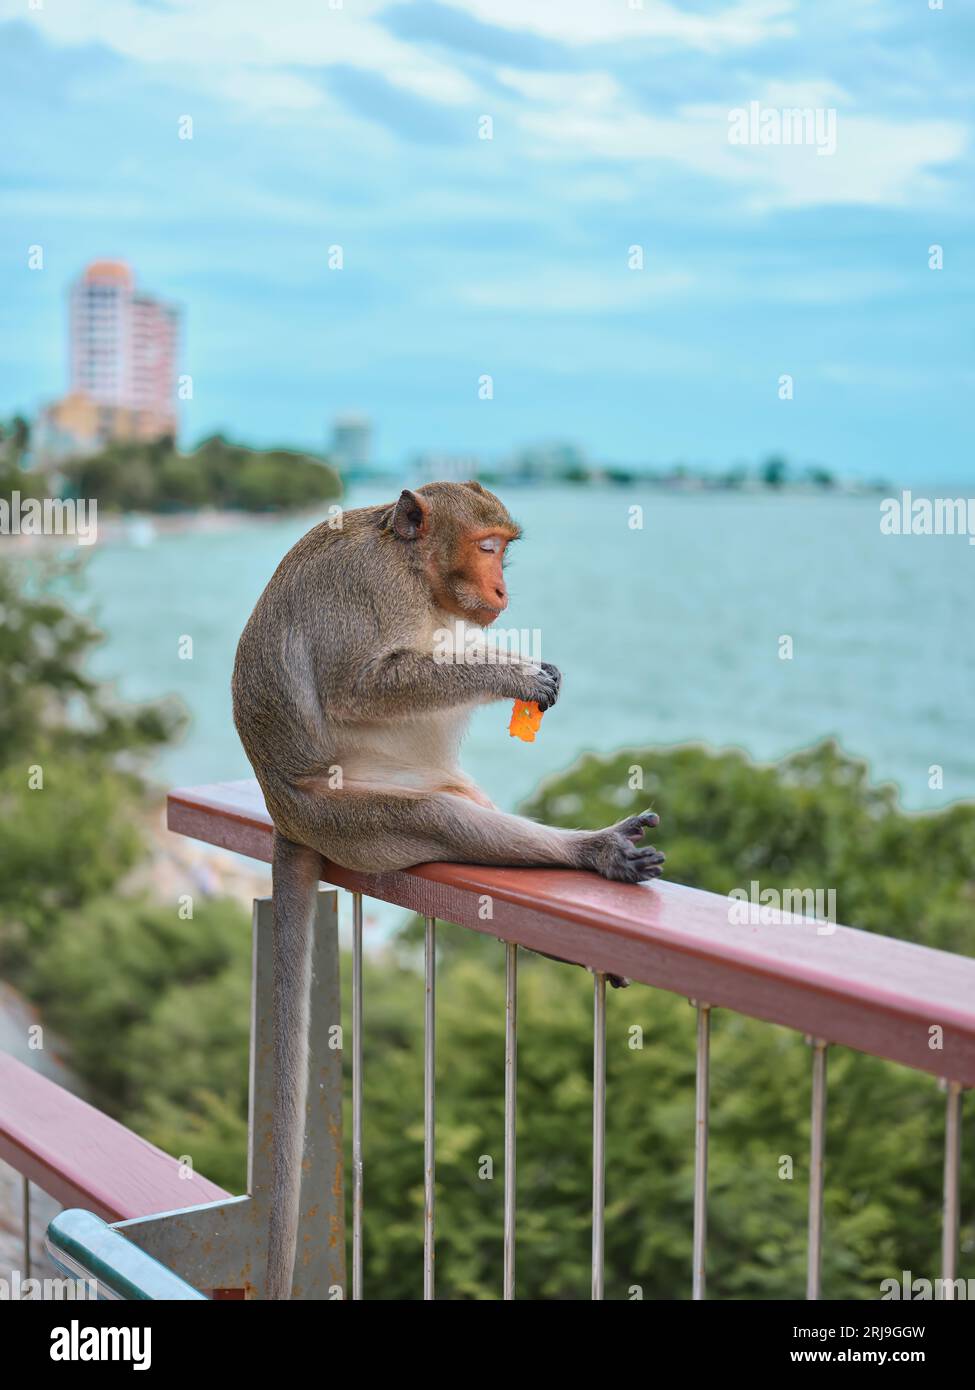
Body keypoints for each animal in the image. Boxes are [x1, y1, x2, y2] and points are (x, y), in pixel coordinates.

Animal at [229, 483, 662, 1295]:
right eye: (488, 548)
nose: (503, 591)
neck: (411, 565)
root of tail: (280, 809)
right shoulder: (371, 591)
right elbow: (360, 686)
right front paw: (515, 674)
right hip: (348, 816)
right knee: (436, 816)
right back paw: (590, 852)